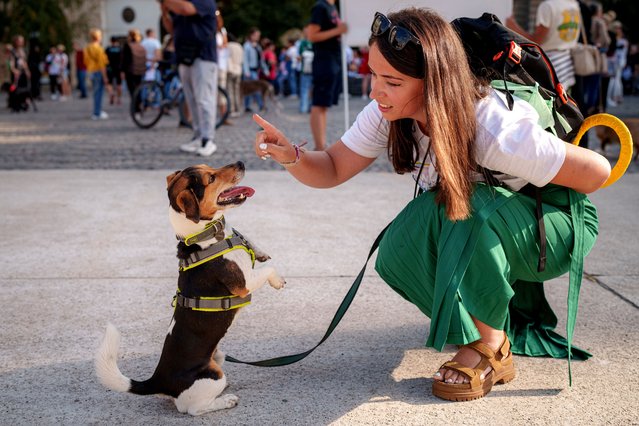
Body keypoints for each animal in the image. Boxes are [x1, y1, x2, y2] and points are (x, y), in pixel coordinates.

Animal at [95, 162, 284, 416]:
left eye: (210, 167)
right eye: (211, 178)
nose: (242, 163)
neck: (206, 236)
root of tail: (157, 381)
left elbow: (252, 244)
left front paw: (260, 252)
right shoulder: (243, 284)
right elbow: (268, 271)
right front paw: (277, 280)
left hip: (217, 356)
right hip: (213, 374)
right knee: (193, 409)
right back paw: (226, 400)